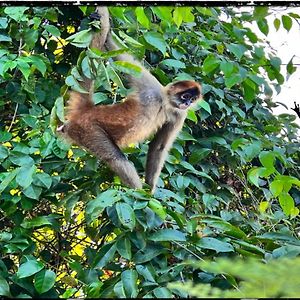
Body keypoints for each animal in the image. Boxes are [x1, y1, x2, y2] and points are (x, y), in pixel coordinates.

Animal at [56, 7, 202, 195]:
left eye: (192, 99)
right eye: (185, 96)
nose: (187, 103)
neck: (164, 103)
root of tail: (88, 110)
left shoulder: (179, 115)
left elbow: (159, 147)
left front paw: (150, 190)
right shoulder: (151, 87)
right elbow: (124, 59)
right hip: (88, 130)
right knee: (115, 158)